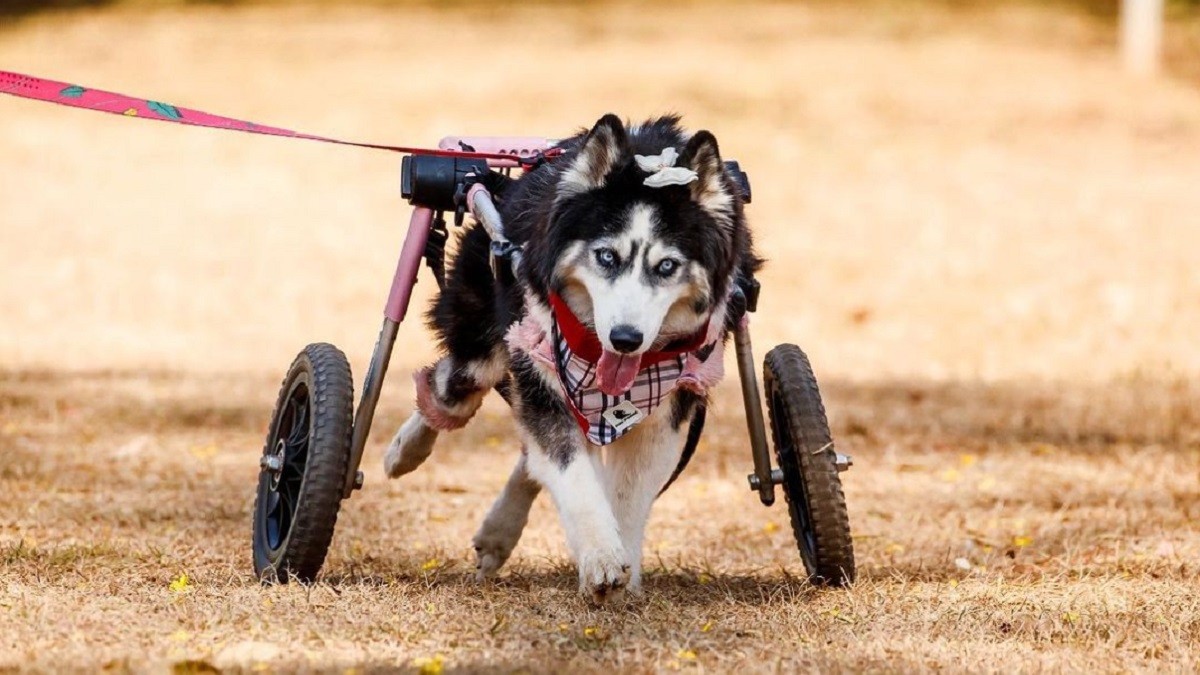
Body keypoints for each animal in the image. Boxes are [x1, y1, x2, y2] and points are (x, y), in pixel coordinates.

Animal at [384, 112, 758, 600]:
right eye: (606, 256)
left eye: (667, 266)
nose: (625, 338)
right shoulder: (542, 370)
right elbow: (574, 475)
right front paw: (601, 557)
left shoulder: (669, 408)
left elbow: (625, 494)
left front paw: (622, 569)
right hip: (484, 343)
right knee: (450, 390)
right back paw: (404, 451)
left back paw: (498, 532)